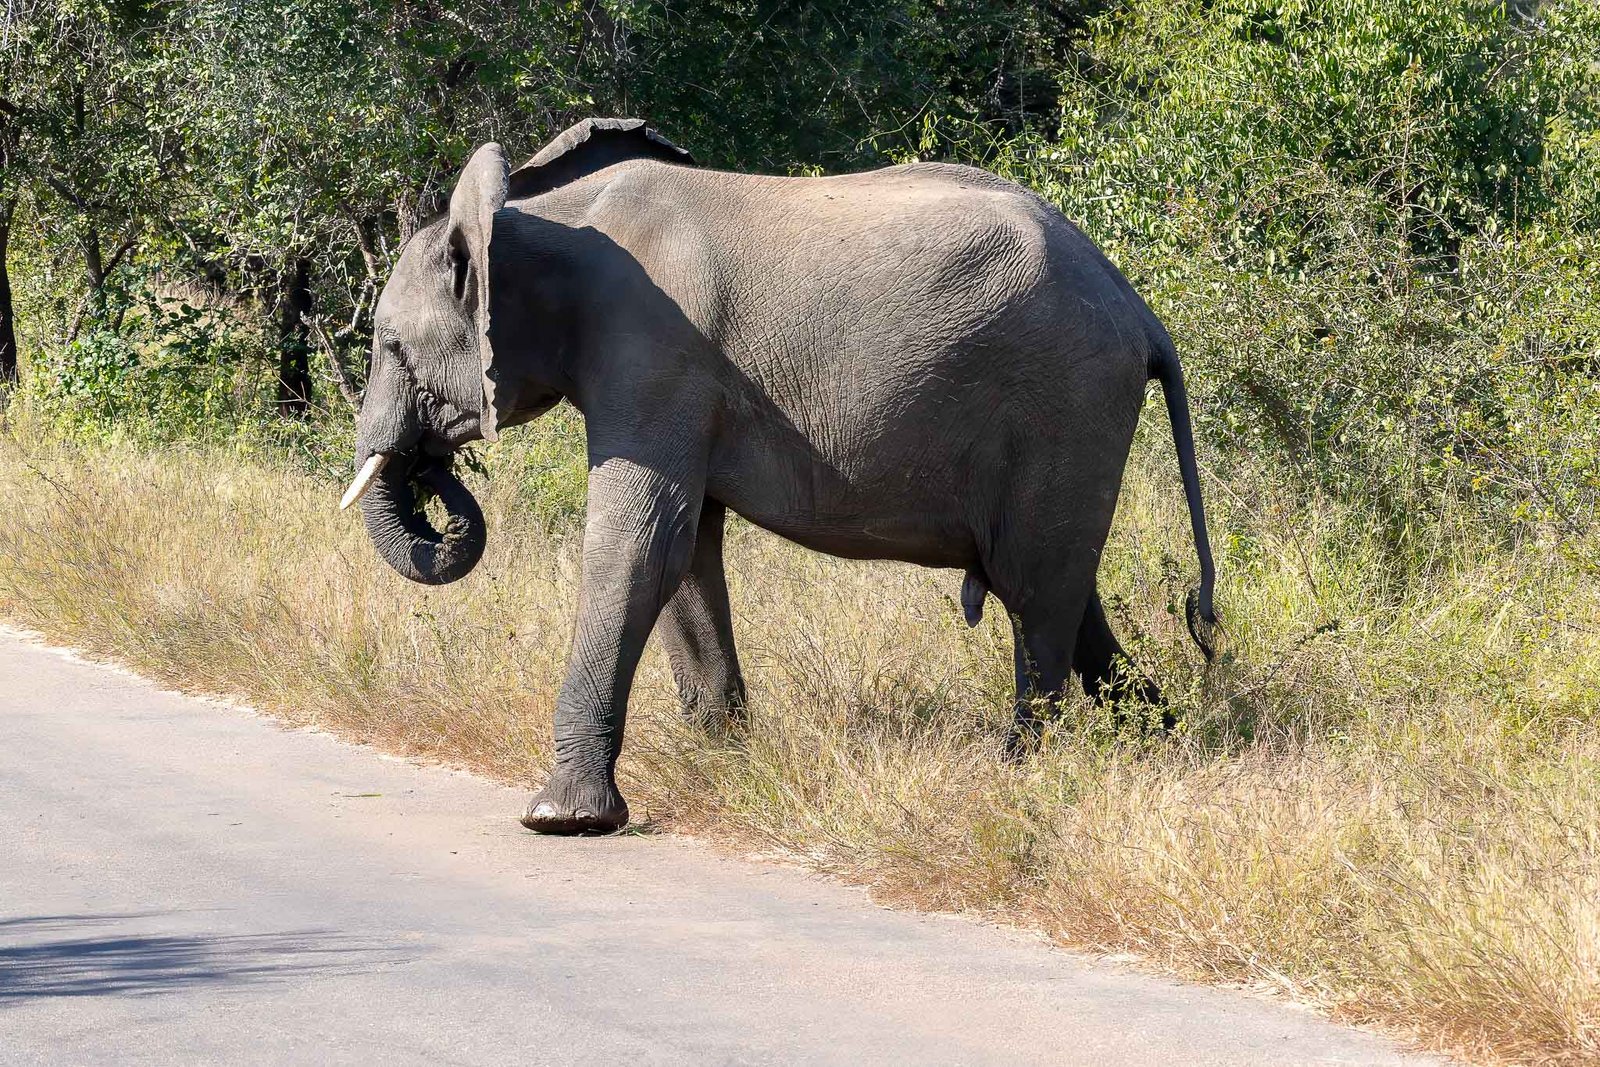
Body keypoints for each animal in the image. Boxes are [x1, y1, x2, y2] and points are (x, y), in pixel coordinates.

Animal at [341, 118, 1218, 835]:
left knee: (1035, 593)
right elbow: (686, 552)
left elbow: (639, 544)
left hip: (1066, 400)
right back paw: (1165, 742)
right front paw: (721, 758)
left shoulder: (654, 355)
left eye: (388, 345)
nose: (433, 464)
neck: (536, 215)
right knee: (1064, 590)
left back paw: (1017, 772)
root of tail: (1140, 311)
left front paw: (561, 818)